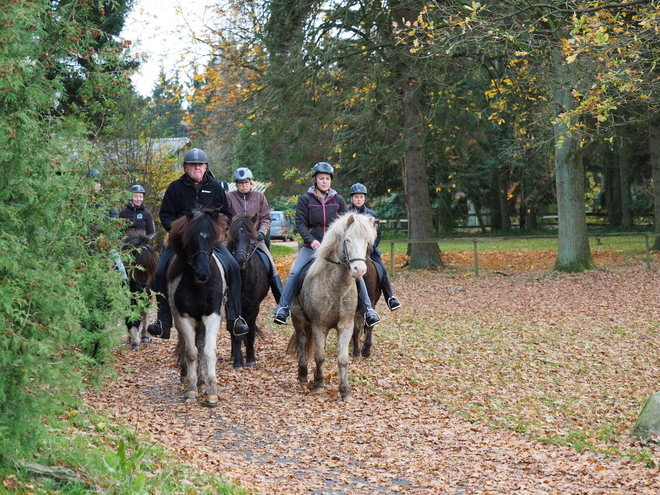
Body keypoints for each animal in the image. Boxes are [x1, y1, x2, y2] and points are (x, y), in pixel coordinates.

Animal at [168, 207, 227, 404]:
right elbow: (191, 352)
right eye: (191, 239)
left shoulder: (212, 317)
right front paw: (191, 389)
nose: (202, 274)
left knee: (201, 346)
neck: (198, 286)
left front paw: (211, 391)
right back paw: (187, 376)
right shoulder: (184, 318)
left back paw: (202, 380)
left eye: (212, 239)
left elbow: (208, 351)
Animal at [226, 214, 270, 372]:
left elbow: (250, 333)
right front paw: (238, 362)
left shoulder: (253, 307)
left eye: (251, 237)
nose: (240, 260)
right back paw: (233, 355)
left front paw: (250, 359)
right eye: (232, 236)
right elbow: (237, 333)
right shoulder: (232, 306)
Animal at [284, 214, 376, 404]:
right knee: (302, 341)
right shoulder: (319, 325)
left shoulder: (346, 325)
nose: (359, 270)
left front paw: (345, 391)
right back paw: (303, 374)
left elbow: (343, 359)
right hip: (298, 319)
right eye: (347, 240)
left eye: (367, 242)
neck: (336, 285)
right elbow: (319, 356)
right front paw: (319, 383)